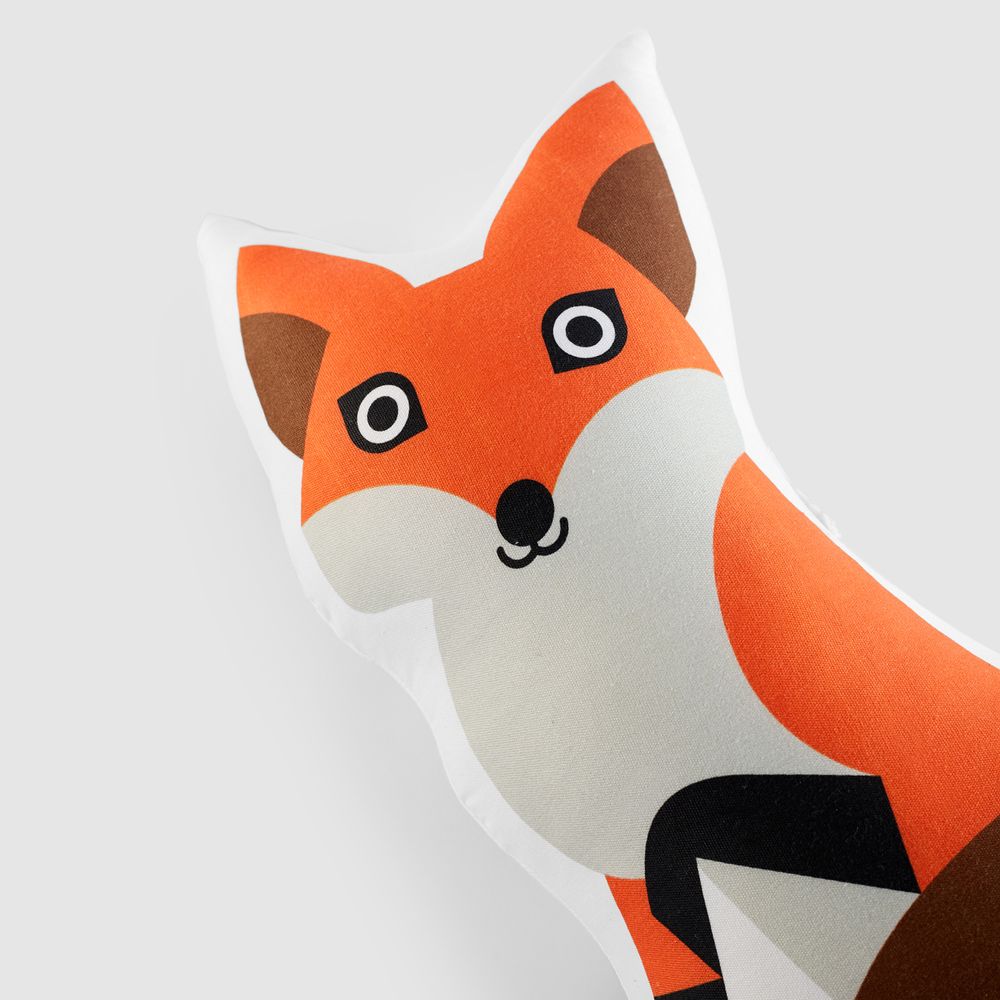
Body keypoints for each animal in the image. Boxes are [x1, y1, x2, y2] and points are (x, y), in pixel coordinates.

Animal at [224, 79, 1000, 999]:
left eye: (584, 332)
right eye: (382, 415)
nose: (522, 509)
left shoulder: (846, 777)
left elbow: (714, 818)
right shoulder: (625, 884)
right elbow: (685, 931)